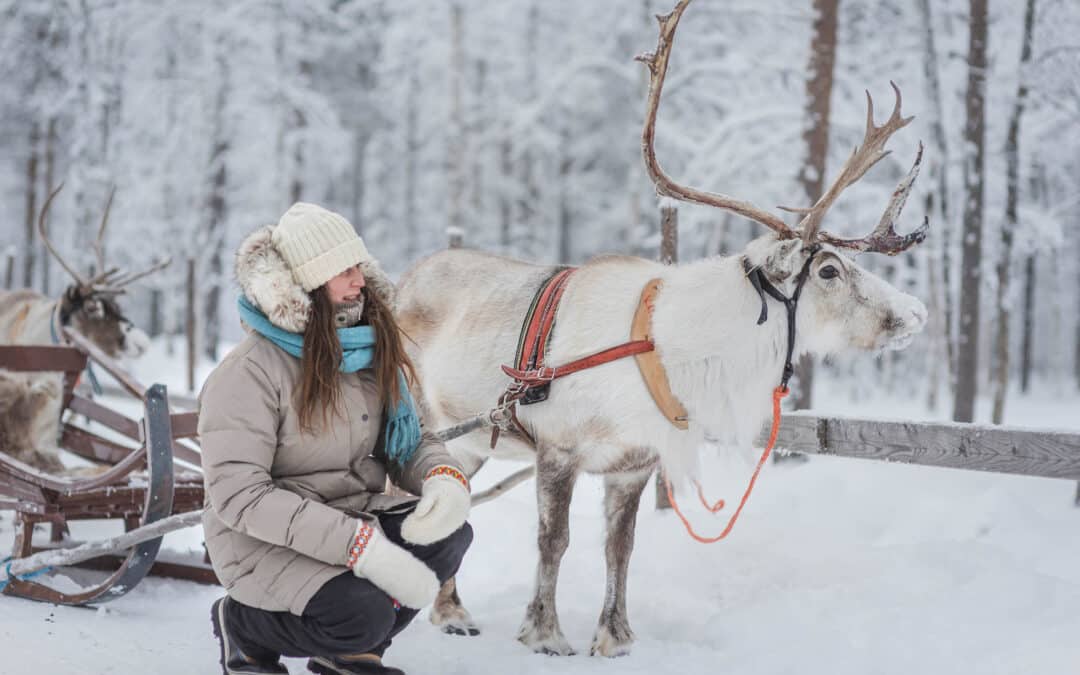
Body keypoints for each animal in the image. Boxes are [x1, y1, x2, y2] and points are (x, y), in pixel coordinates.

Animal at [395, 0, 929, 658]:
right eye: (829, 269)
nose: (913, 313)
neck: (679, 352)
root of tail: (398, 283)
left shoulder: (634, 464)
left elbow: (619, 550)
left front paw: (616, 637)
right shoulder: (558, 448)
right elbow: (554, 542)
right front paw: (545, 634)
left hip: (468, 443)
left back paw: (450, 611)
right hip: (426, 423)